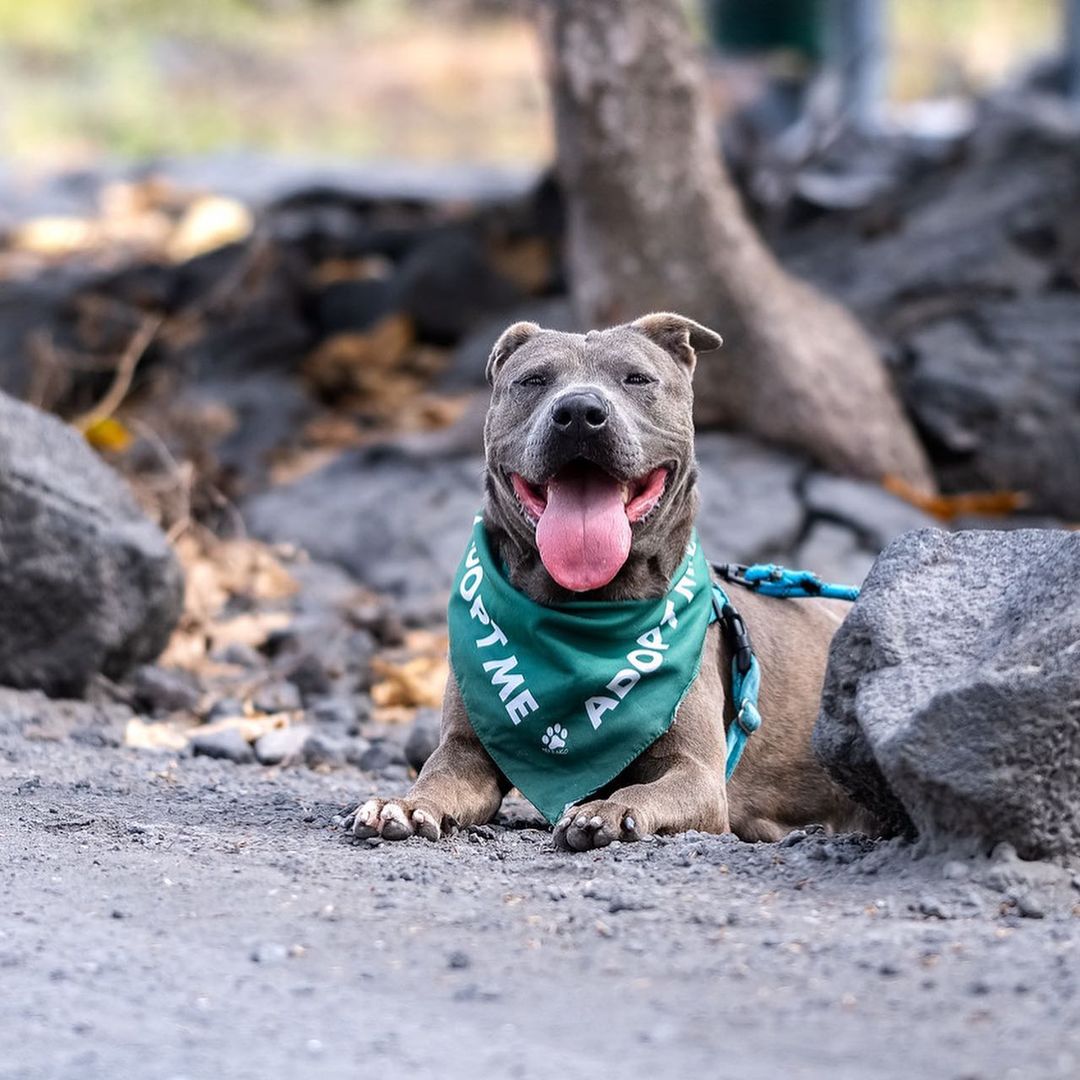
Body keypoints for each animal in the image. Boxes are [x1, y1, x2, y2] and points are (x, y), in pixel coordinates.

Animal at [349, 313, 881, 851]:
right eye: (533, 381)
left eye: (637, 379)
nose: (579, 411)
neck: (585, 612)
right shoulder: (464, 747)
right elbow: (437, 776)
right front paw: (407, 803)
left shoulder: (698, 775)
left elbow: (649, 791)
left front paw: (609, 808)